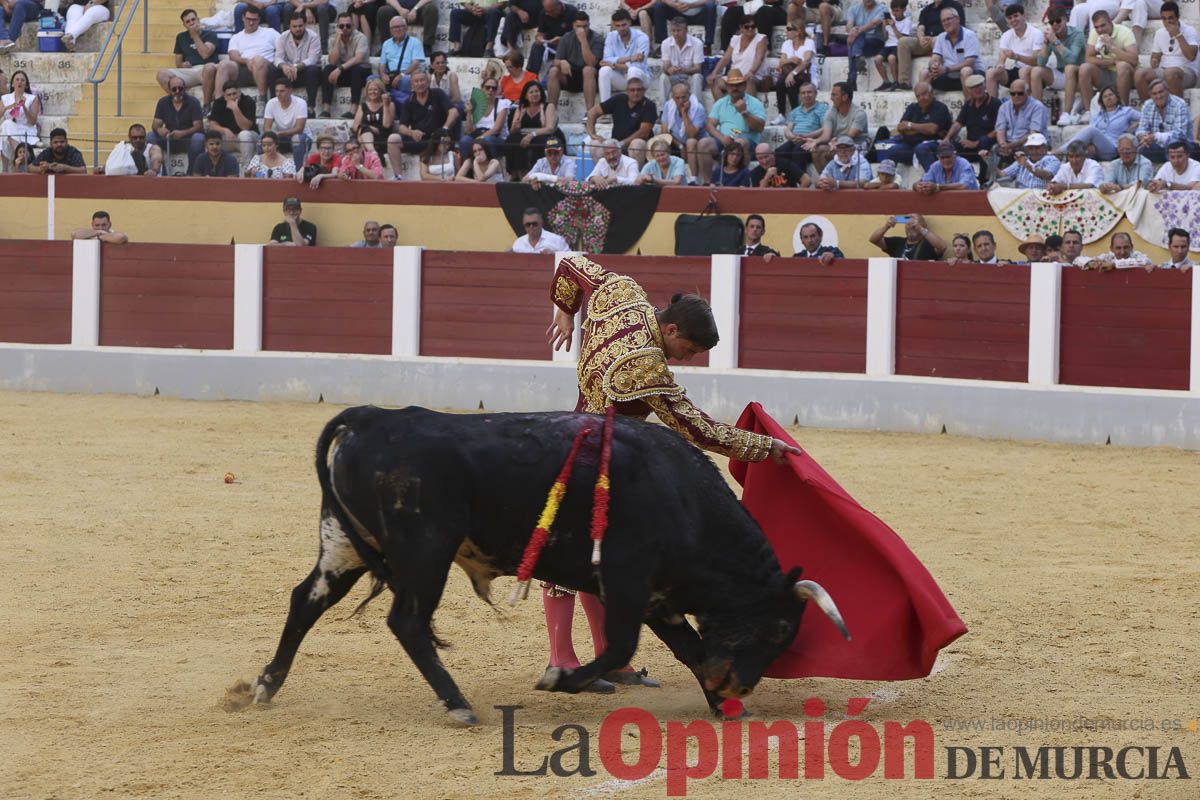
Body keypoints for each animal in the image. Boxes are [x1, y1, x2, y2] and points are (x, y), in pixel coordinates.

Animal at [248, 407, 849, 724]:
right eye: (776, 628)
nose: (742, 688)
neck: (682, 498)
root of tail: (370, 418)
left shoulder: (658, 597)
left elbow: (692, 649)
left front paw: (720, 707)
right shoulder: (627, 584)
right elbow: (622, 647)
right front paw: (561, 680)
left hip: (344, 543)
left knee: (306, 600)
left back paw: (262, 688)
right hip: (425, 552)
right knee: (408, 622)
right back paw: (459, 705)